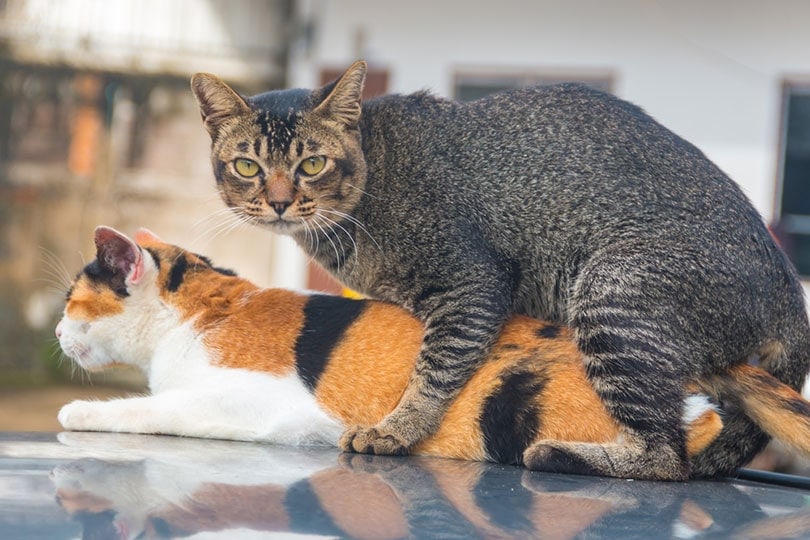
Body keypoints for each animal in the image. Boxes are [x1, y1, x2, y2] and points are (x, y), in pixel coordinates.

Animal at [55, 226, 808, 478]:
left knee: (675, 450)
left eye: (69, 298)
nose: (57, 332)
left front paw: (81, 413)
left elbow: (153, 407)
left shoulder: (258, 402)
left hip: (511, 400)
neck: (206, 305)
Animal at [188, 61, 808, 478]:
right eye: (248, 166)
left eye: (312, 164)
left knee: (667, 457)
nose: (279, 202)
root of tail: (786, 280)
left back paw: (560, 454)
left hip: (613, 291)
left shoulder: (471, 286)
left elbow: (435, 369)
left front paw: (397, 428)